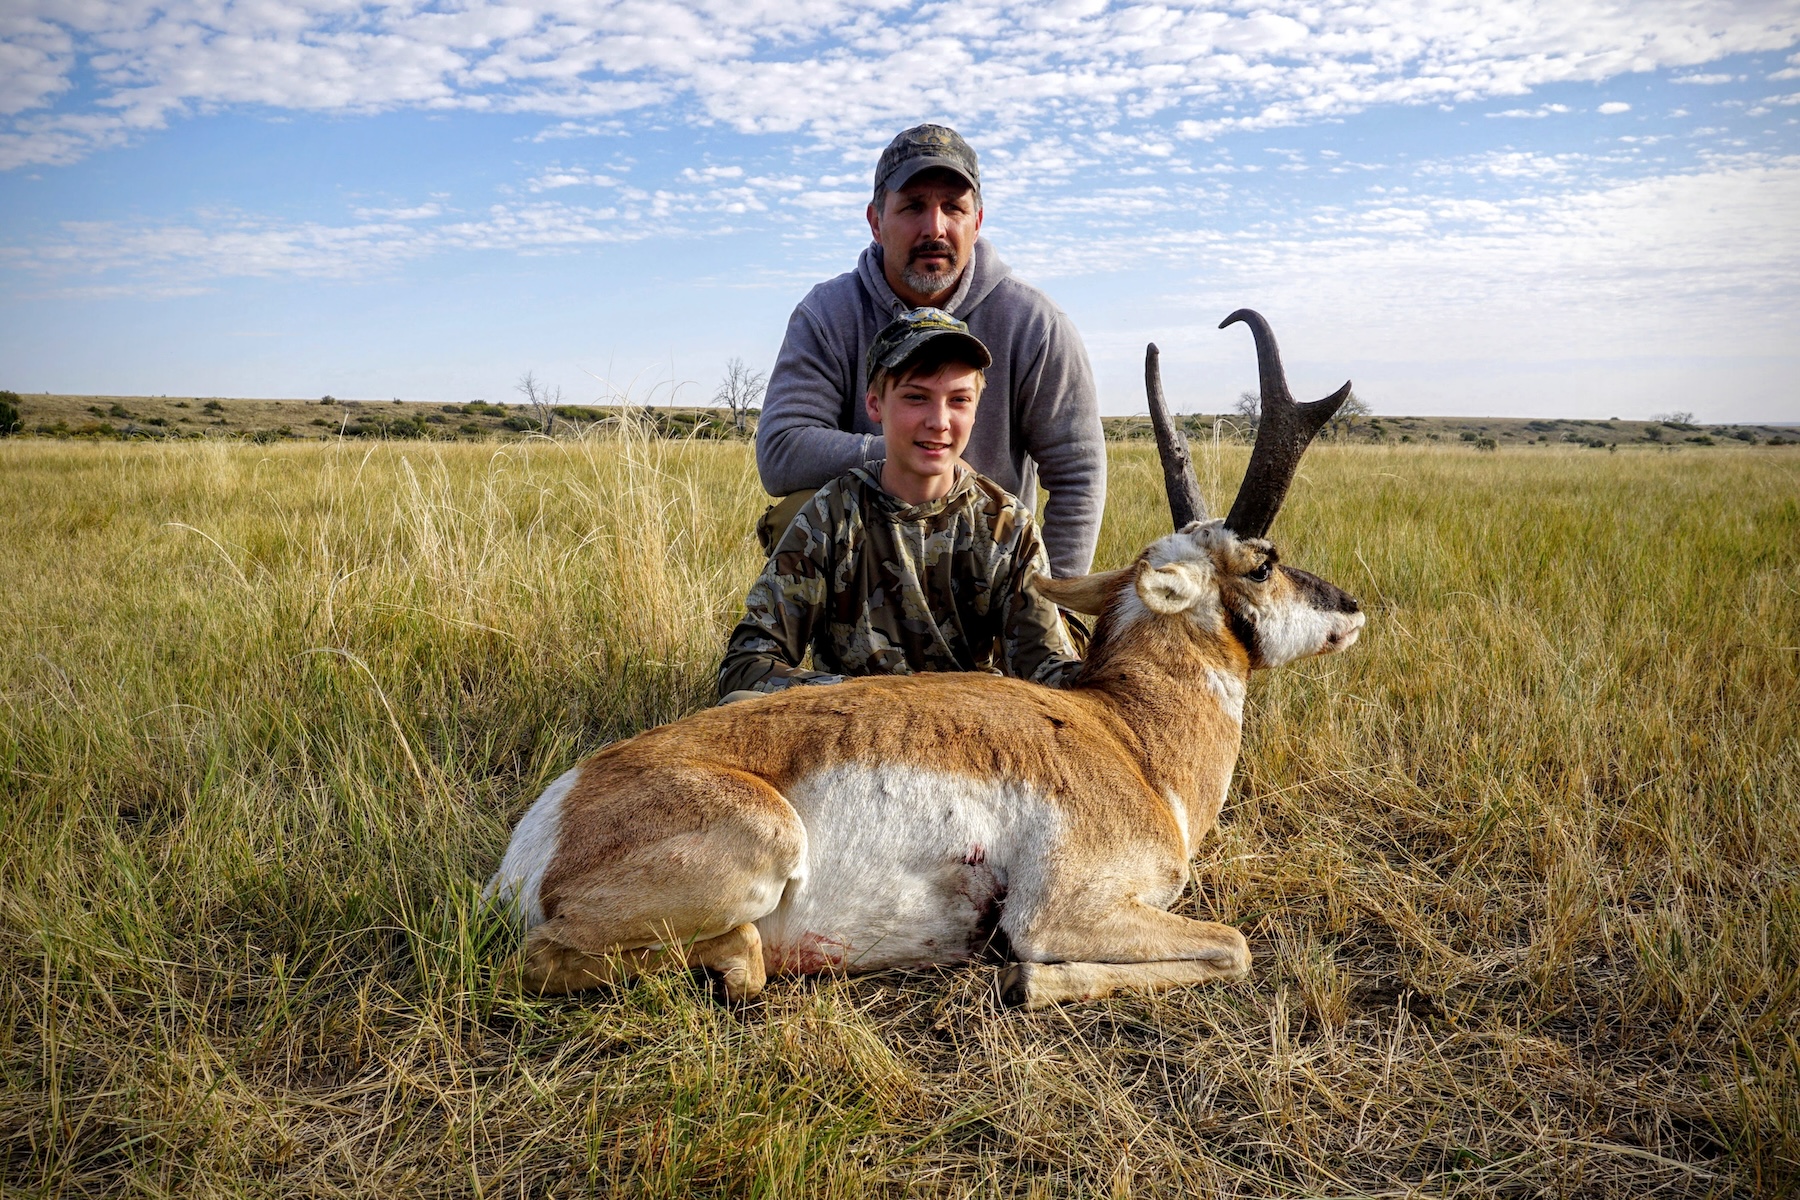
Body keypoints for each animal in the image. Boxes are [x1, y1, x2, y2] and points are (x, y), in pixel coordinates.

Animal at [489, 313, 1360, 1014]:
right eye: (1263, 563)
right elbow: (1233, 946)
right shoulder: (1064, 910)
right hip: (764, 843)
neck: (1128, 737)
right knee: (567, 959)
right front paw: (1025, 980)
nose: (1352, 609)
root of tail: (545, 830)